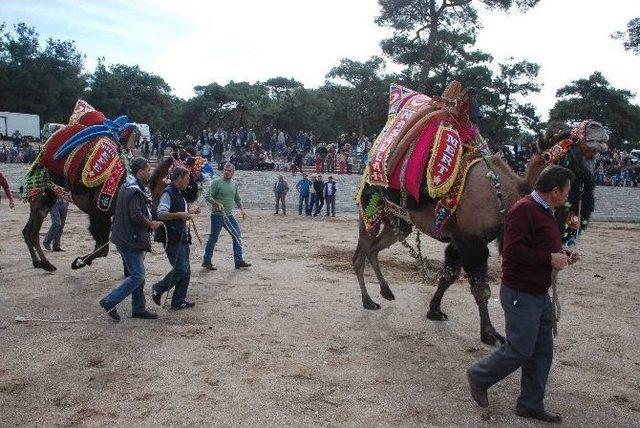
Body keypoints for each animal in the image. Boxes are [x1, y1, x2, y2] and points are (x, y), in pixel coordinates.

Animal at [23, 101, 205, 270]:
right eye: (188, 163)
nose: (194, 190)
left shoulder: (112, 215)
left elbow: (111, 247)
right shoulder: (99, 213)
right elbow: (104, 249)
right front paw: (79, 262)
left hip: (47, 197)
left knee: (27, 231)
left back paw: (38, 263)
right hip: (42, 197)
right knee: (32, 232)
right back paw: (46, 264)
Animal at [356, 82, 608, 346]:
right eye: (562, 136)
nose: (597, 126)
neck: (510, 193)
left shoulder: (459, 238)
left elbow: (449, 275)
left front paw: (434, 310)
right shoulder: (471, 240)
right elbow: (480, 289)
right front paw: (490, 333)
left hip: (398, 222)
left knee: (374, 249)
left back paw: (385, 292)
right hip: (369, 209)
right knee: (360, 254)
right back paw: (368, 300)